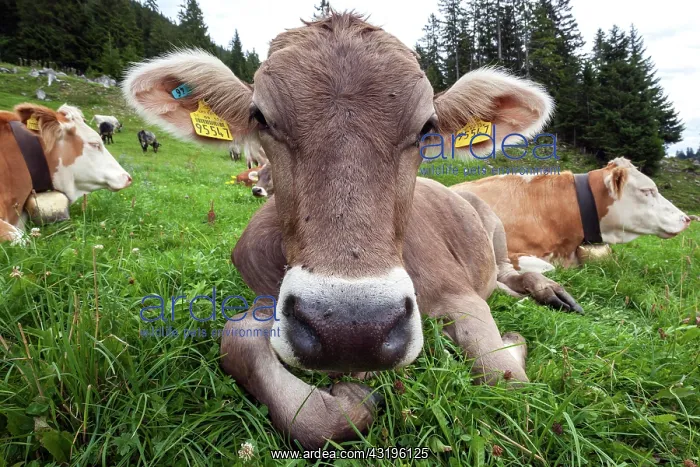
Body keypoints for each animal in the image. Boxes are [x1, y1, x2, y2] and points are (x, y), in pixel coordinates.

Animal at [122, 12, 580, 448]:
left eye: (427, 127)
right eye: (261, 117)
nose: (351, 330)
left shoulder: (460, 296)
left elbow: (506, 378)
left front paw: (514, 345)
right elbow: (243, 344)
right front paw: (347, 400)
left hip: (493, 227)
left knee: (507, 271)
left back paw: (549, 291)